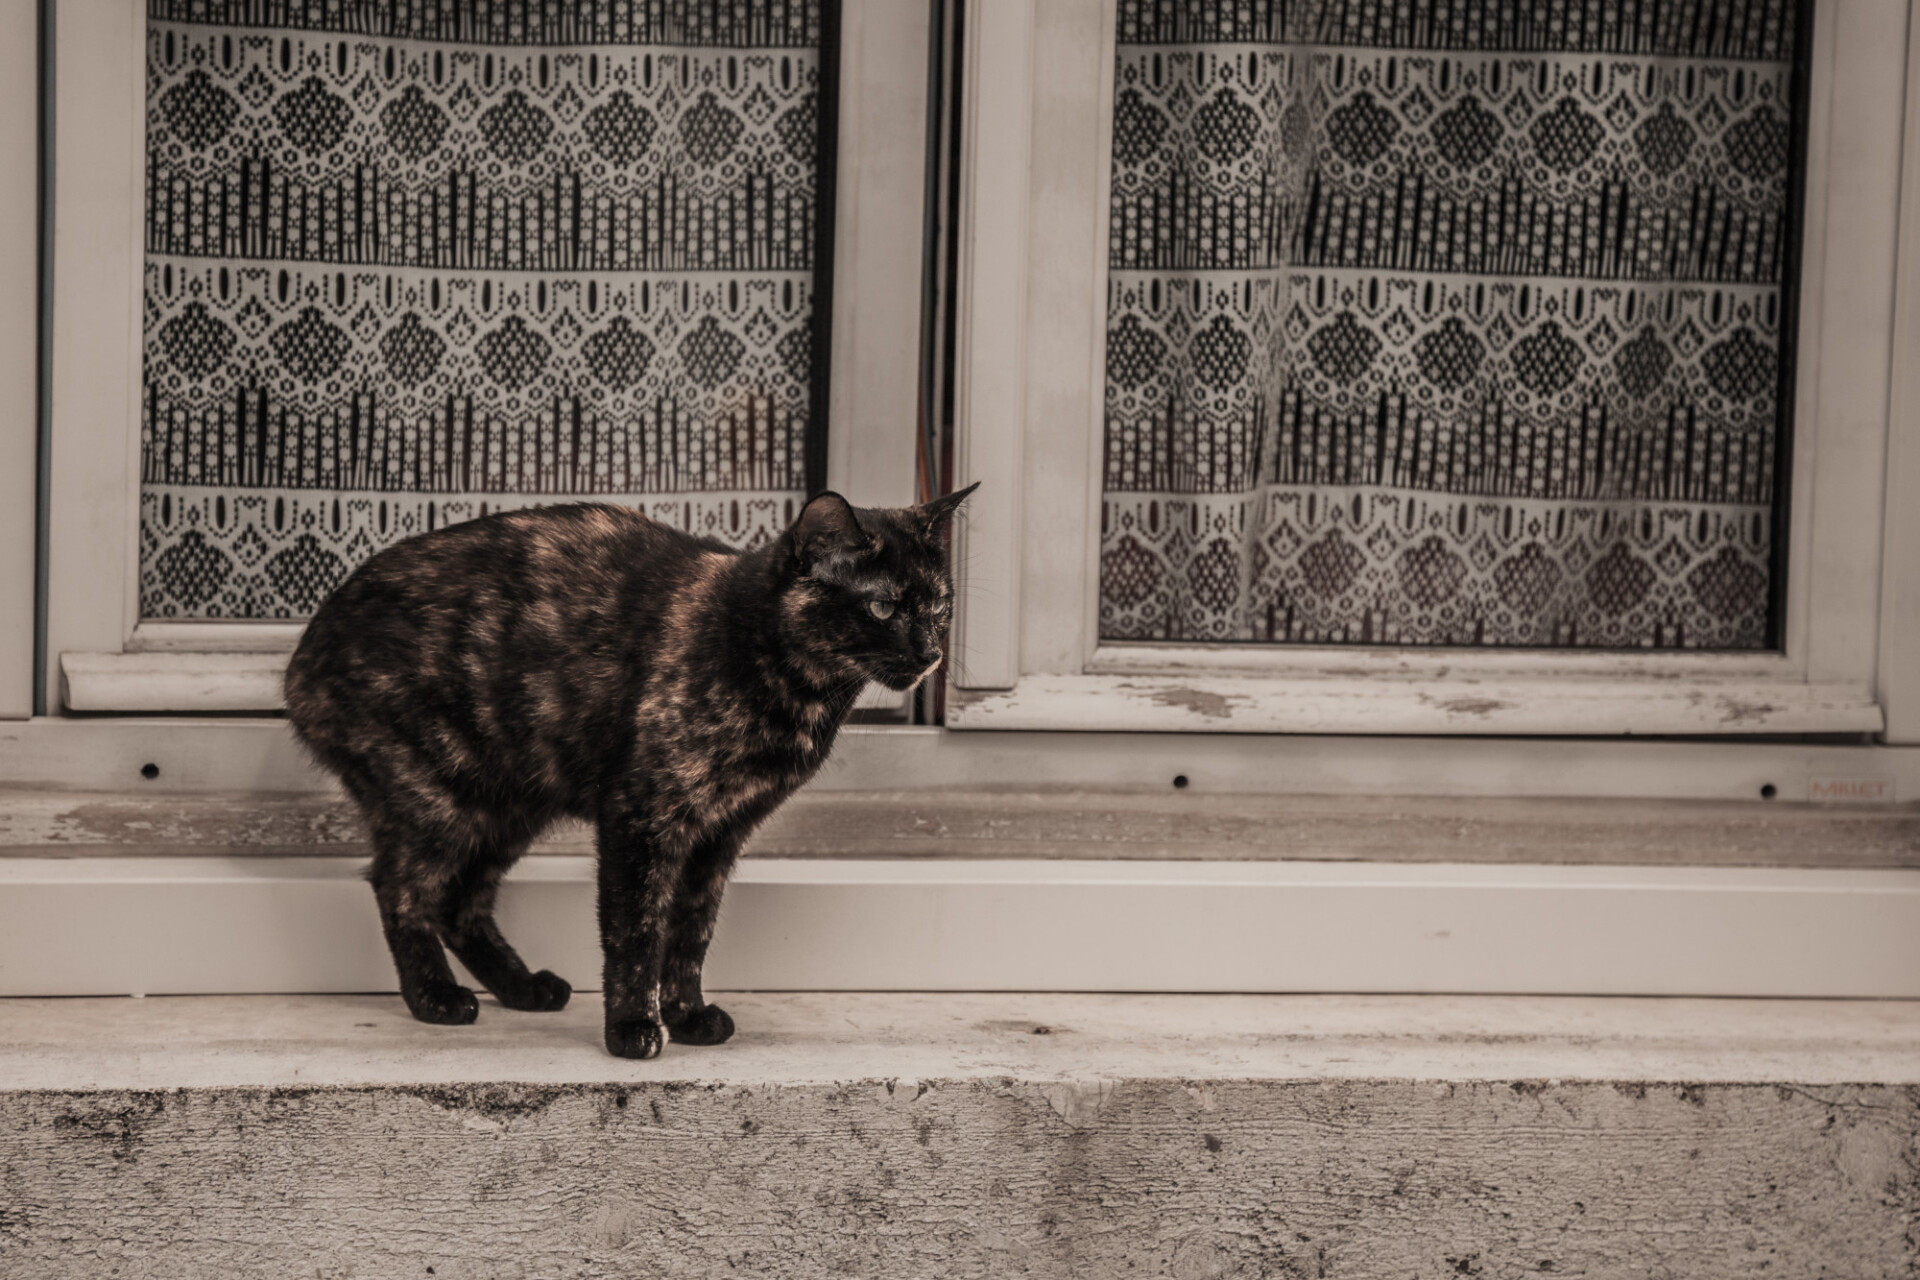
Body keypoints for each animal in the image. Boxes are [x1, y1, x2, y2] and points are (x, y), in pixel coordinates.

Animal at [282, 485, 975, 1059]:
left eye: (941, 607)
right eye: (882, 607)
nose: (930, 654)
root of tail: (304, 653)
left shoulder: (720, 834)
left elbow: (692, 933)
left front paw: (688, 1016)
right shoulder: (641, 814)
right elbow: (637, 931)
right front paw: (633, 1028)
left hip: (509, 805)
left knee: (461, 901)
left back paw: (523, 988)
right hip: (436, 797)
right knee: (400, 888)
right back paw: (435, 999)